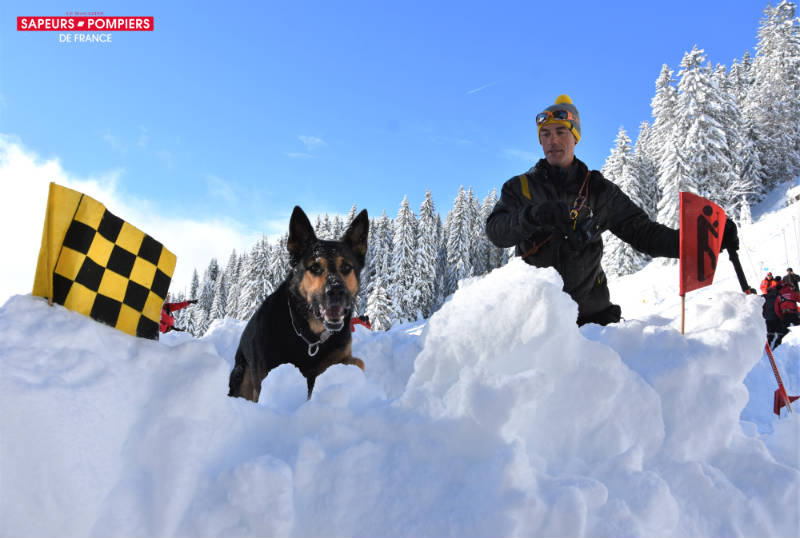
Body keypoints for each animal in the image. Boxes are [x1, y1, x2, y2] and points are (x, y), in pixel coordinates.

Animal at [228, 204, 368, 398]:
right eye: (315, 267)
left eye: (346, 267)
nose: (336, 291)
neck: (310, 337)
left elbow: (358, 363)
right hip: (241, 372)